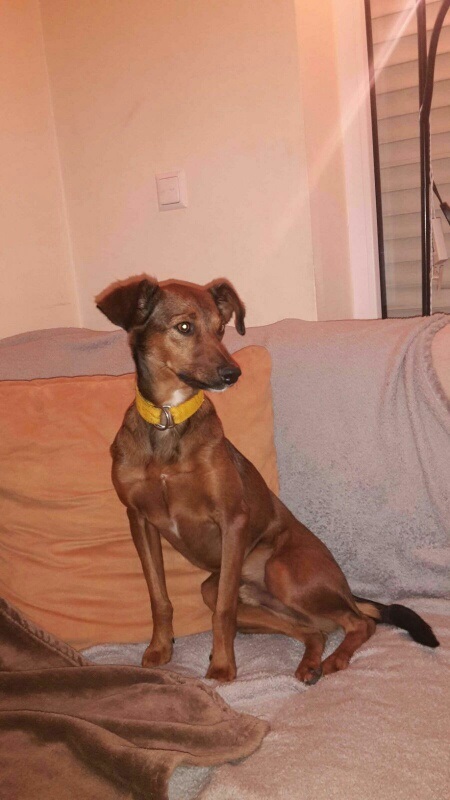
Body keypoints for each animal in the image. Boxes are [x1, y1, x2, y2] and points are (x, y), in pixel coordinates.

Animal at [97, 276, 439, 683]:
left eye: (221, 328)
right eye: (184, 327)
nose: (233, 375)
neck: (169, 420)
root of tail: (344, 587)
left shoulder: (232, 518)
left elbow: (223, 613)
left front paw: (222, 666)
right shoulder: (139, 520)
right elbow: (159, 597)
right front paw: (160, 648)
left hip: (282, 572)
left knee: (359, 622)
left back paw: (336, 660)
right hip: (226, 590)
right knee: (315, 629)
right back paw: (310, 663)